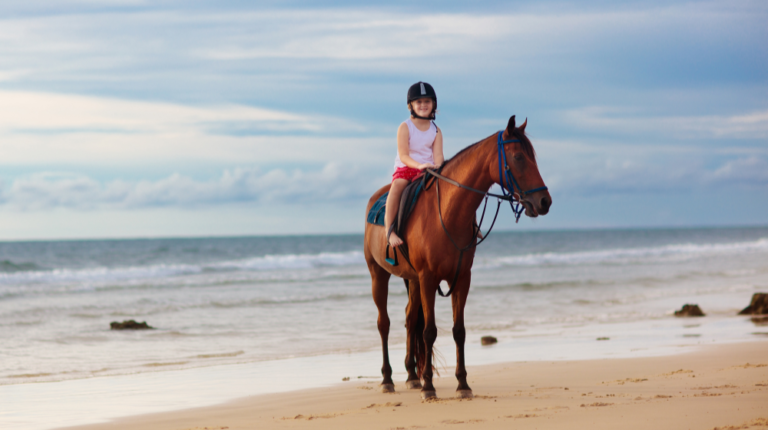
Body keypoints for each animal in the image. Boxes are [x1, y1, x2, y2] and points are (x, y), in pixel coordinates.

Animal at [363, 115, 551, 399]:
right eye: (518, 157)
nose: (544, 201)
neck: (447, 214)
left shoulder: (461, 278)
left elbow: (458, 331)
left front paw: (462, 384)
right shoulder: (428, 278)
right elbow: (429, 332)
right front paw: (429, 387)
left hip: (412, 280)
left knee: (409, 320)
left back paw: (412, 376)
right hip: (379, 274)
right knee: (384, 323)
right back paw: (388, 379)